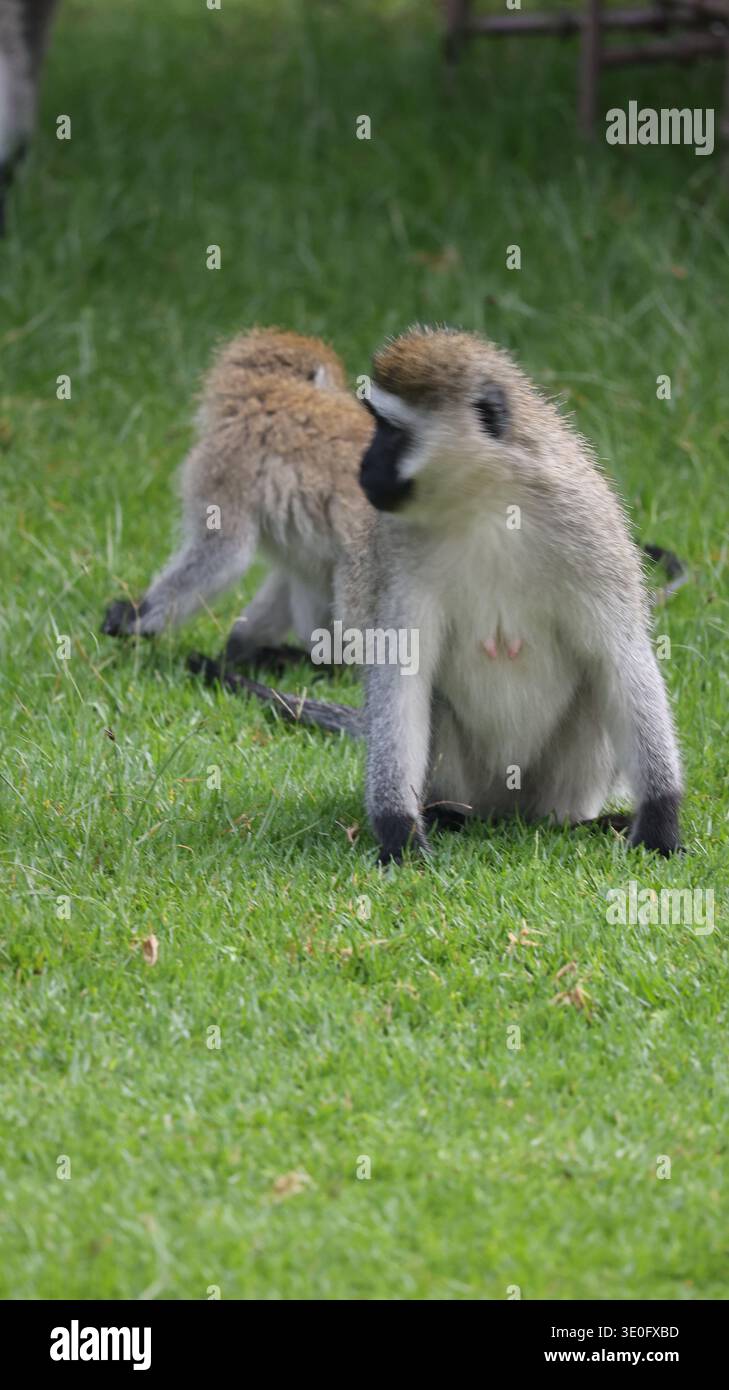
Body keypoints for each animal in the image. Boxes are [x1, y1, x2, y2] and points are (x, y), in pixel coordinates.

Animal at [196, 326, 684, 865]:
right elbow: (402, 671)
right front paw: (399, 833)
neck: (488, 503)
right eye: (375, 425)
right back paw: (447, 815)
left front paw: (660, 822)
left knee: (598, 689)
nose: (363, 465)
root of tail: (505, 813)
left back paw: (578, 822)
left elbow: (619, 656)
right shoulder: (396, 555)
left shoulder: (587, 528)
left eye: (390, 429)